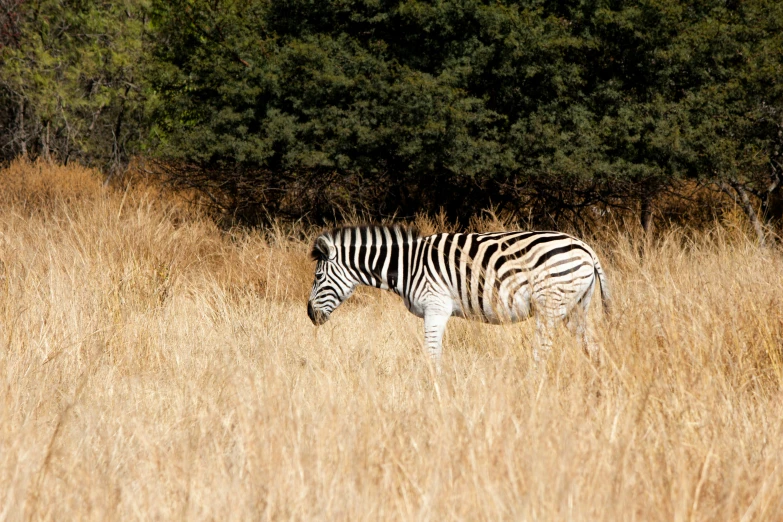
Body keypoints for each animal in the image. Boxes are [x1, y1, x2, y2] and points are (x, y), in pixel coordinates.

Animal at [306, 225, 612, 368]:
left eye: (318, 278)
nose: (310, 315)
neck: (407, 265)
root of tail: (585, 247)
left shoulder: (436, 308)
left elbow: (432, 354)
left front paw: (434, 389)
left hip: (551, 304)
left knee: (543, 350)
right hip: (576, 307)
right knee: (593, 345)